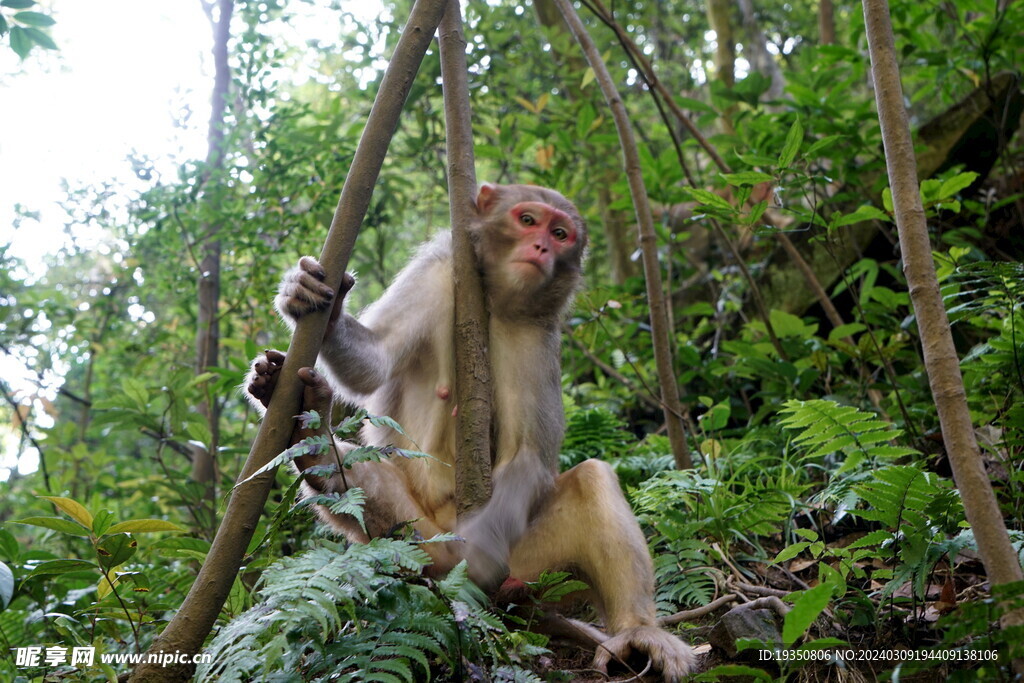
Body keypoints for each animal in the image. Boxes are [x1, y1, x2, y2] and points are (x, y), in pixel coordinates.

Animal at [247, 184, 696, 679]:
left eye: (560, 234)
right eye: (527, 220)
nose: (541, 247)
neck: (495, 303)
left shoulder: (536, 336)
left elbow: (528, 457)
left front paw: (479, 553)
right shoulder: (438, 272)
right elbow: (375, 365)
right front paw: (313, 302)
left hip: (530, 567)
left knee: (590, 479)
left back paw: (637, 630)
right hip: (417, 540)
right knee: (362, 489)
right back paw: (311, 436)